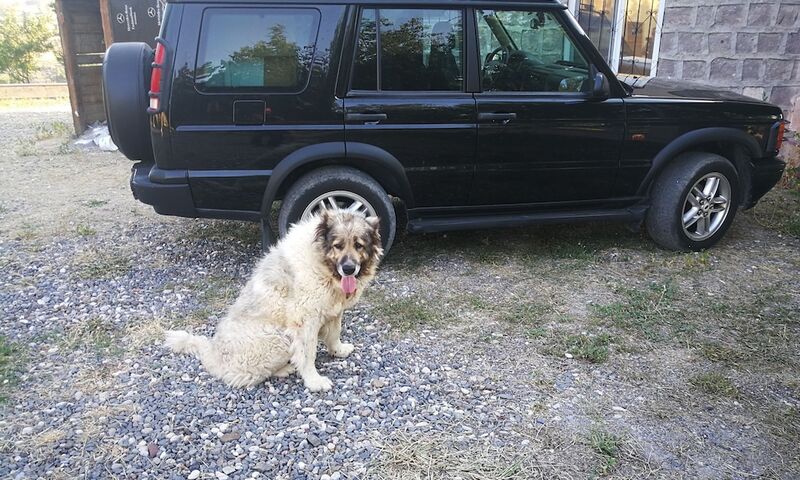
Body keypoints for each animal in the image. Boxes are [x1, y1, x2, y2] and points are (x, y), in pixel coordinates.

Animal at [164, 210, 382, 390]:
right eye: (338, 246)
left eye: (358, 245)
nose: (348, 269)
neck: (321, 263)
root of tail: (213, 352)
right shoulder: (305, 321)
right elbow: (307, 354)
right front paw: (314, 381)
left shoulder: (333, 310)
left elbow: (334, 334)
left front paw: (338, 350)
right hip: (278, 338)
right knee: (250, 376)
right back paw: (285, 369)